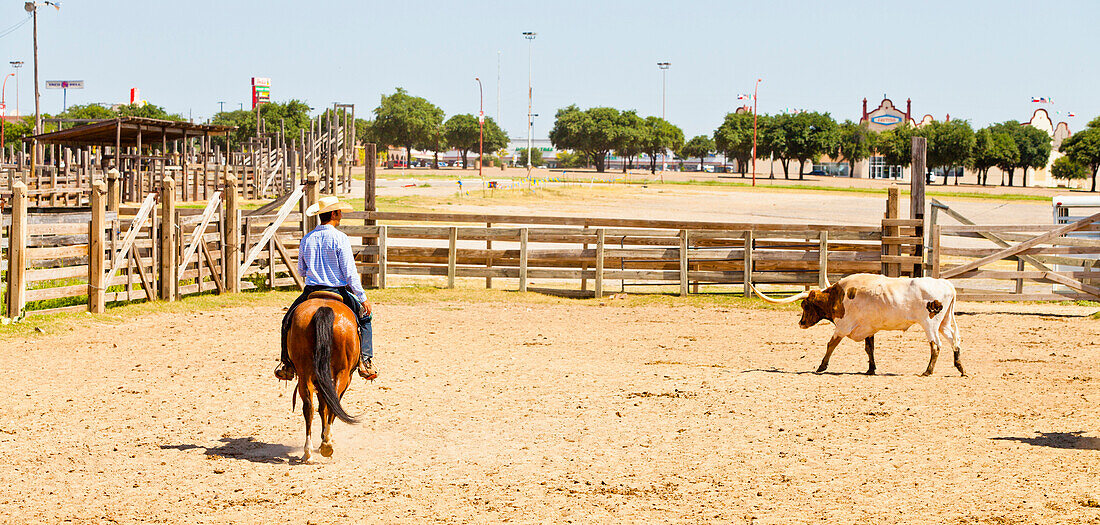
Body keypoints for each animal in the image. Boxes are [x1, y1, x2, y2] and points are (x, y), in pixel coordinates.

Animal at [286, 290, 358, 462]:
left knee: (309, 407)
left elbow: (322, 406)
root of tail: (324, 309)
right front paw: (326, 438)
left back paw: (308, 451)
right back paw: (326, 444)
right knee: (332, 403)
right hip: (343, 373)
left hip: (305, 373)